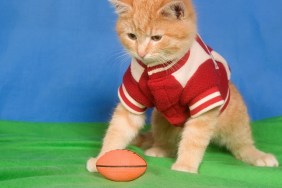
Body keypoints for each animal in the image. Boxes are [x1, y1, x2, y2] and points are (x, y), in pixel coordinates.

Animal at [87, 0, 278, 173]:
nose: (141, 53)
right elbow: (119, 128)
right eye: (132, 36)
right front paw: (103, 158)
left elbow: (194, 138)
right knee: (166, 139)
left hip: (234, 114)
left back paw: (257, 155)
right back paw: (161, 148)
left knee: (241, 142)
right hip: (160, 117)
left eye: (156, 38)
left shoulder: (204, 99)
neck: (160, 68)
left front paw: (186, 166)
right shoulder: (133, 92)